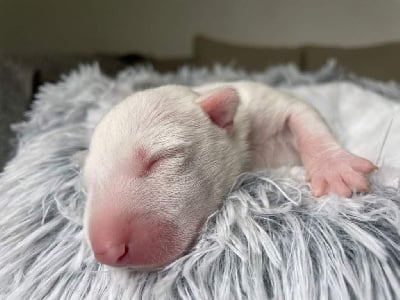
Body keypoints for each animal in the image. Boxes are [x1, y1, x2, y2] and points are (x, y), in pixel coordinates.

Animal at [83, 80, 376, 270]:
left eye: (160, 159)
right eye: (89, 185)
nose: (106, 251)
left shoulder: (259, 105)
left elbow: (301, 112)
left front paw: (334, 168)